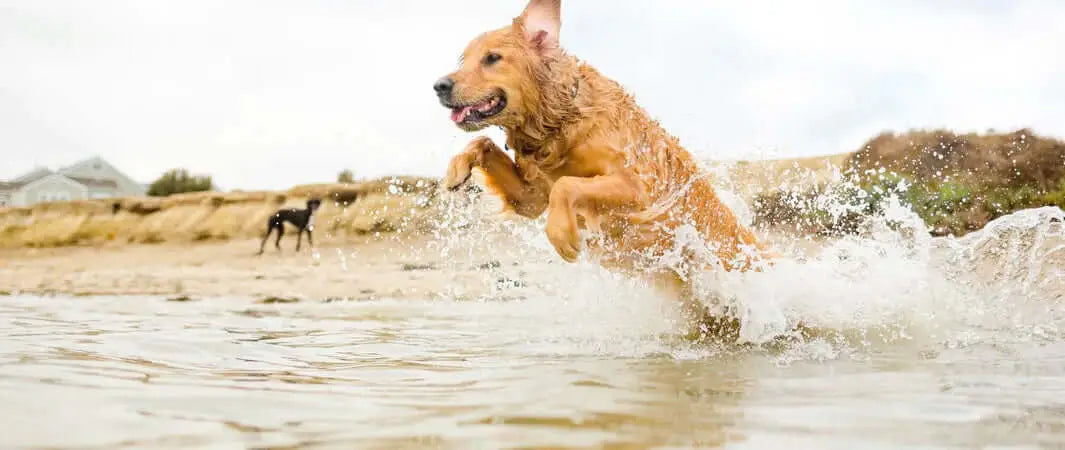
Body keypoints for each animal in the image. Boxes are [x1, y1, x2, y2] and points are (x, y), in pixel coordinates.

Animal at [432, 0, 775, 338]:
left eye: (492, 58)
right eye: (464, 59)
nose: (439, 85)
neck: (558, 122)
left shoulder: (637, 189)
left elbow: (566, 185)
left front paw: (562, 234)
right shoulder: (531, 197)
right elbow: (482, 142)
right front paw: (456, 169)